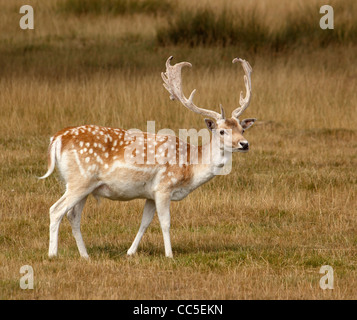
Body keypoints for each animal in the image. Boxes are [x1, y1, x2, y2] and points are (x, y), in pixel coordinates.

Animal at [40, 56, 254, 258]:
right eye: (222, 131)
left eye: (242, 129)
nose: (244, 144)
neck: (190, 168)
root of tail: (57, 137)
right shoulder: (164, 187)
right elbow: (165, 222)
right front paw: (169, 254)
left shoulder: (150, 194)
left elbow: (145, 222)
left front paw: (130, 252)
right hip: (80, 180)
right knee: (55, 210)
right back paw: (53, 254)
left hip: (85, 185)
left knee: (73, 215)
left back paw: (85, 255)